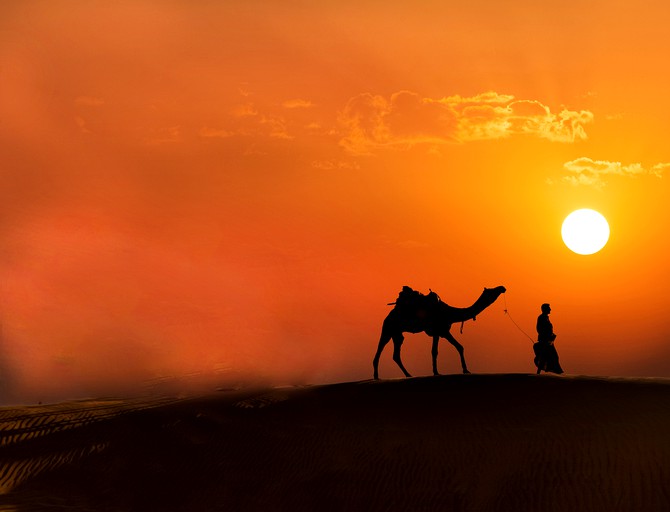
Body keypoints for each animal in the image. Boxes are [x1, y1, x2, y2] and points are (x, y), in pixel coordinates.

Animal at [376, 284, 506, 380]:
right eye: (491, 291)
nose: (502, 287)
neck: (450, 313)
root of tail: (389, 315)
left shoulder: (441, 332)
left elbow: (456, 347)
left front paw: (464, 370)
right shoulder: (440, 330)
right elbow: (437, 351)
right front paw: (438, 372)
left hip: (397, 334)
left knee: (396, 354)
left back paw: (408, 374)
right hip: (388, 328)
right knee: (380, 348)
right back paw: (377, 376)